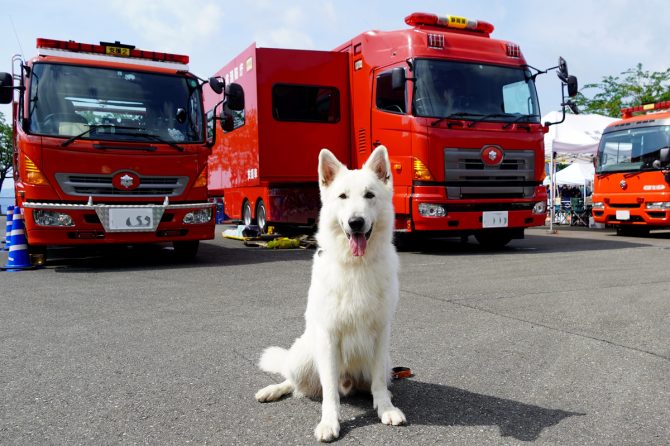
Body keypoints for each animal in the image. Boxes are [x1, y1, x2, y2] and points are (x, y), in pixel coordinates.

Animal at [255, 145, 406, 440]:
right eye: (343, 196)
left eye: (370, 195)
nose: (356, 222)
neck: (356, 265)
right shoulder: (329, 335)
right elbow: (329, 393)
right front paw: (329, 421)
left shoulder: (381, 334)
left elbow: (378, 385)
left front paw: (386, 409)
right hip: (303, 356)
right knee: (294, 382)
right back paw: (273, 390)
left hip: (384, 363)